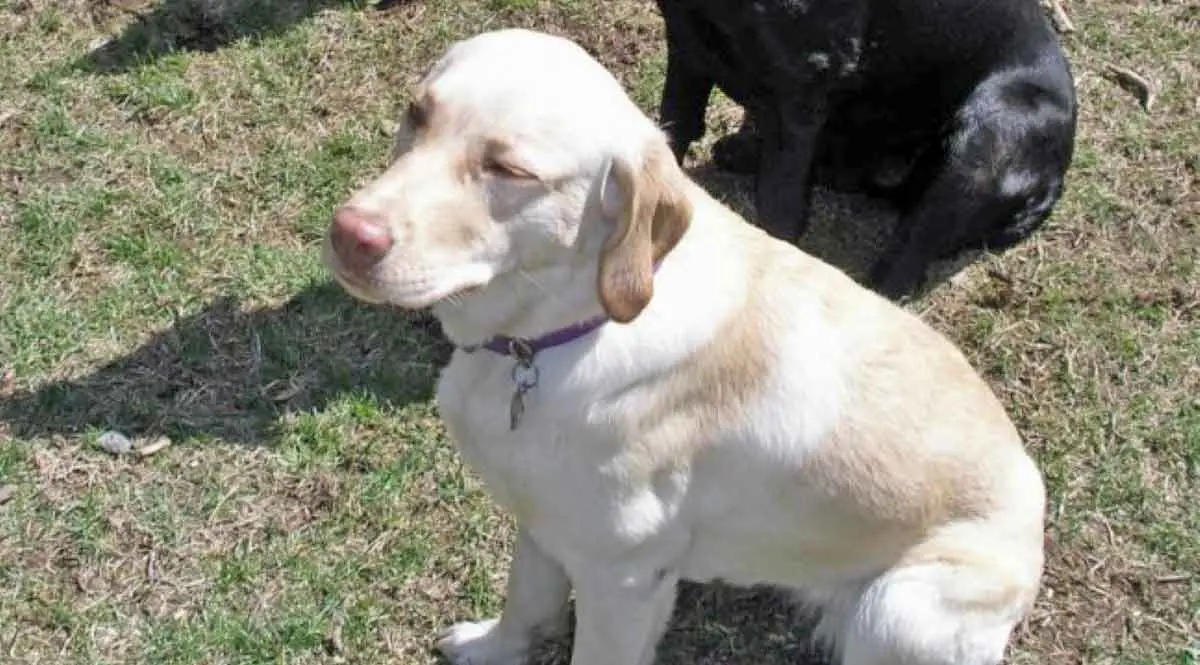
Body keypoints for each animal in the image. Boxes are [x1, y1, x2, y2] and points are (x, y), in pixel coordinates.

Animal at [657, 0, 1080, 296]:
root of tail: (1055, 181)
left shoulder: (805, 79)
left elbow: (780, 205)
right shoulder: (685, 43)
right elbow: (672, 128)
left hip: (991, 136)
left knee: (909, 256)